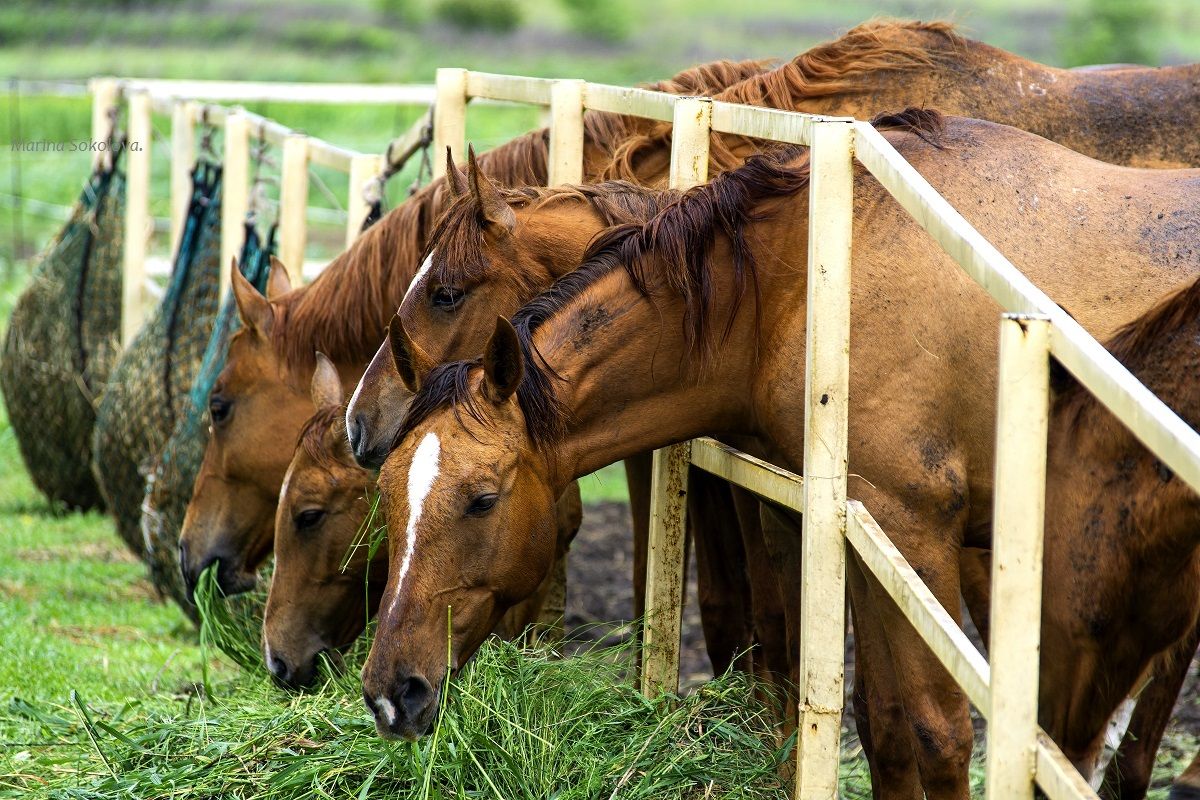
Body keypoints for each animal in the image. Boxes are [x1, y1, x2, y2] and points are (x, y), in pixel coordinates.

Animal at [359, 114, 1200, 800]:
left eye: (481, 499)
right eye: (395, 497)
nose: (388, 691)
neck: (809, 282)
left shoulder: (917, 534)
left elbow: (939, 732)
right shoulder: (860, 535)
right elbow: (884, 722)